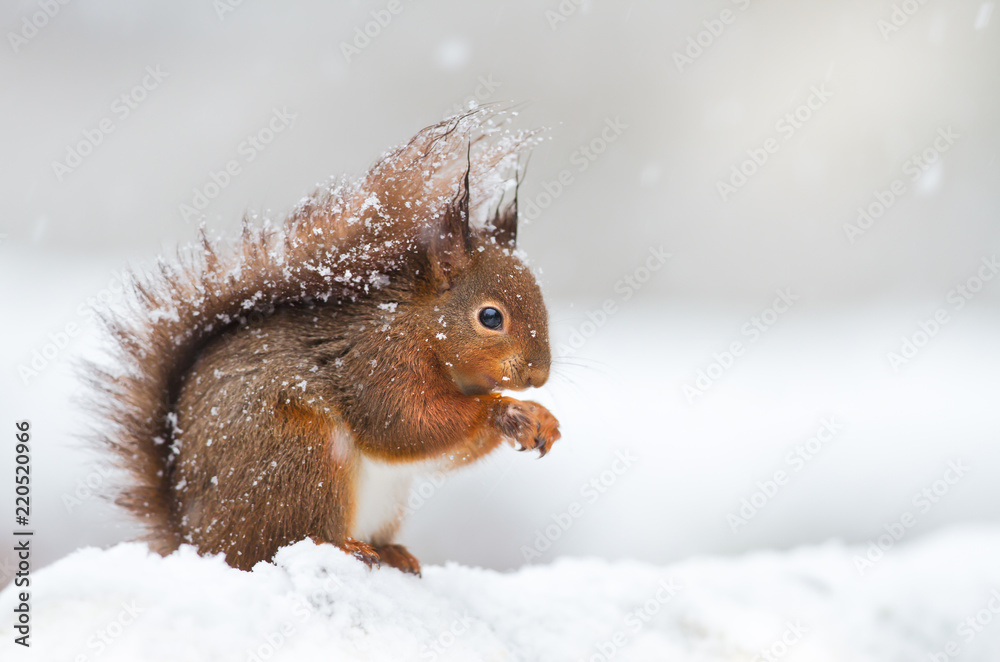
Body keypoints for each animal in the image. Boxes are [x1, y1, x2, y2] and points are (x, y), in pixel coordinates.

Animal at [91, 110, 564, 576]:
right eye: (490, 317)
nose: (538, 376)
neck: (421, 326)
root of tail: (198, 541)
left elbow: (441, 451)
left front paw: (542, 419)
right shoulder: (377, 361)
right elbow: (407, 424)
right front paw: (508, 411)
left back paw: (392, 552)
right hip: (299, 456)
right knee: (279, 543)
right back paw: (343, 547)